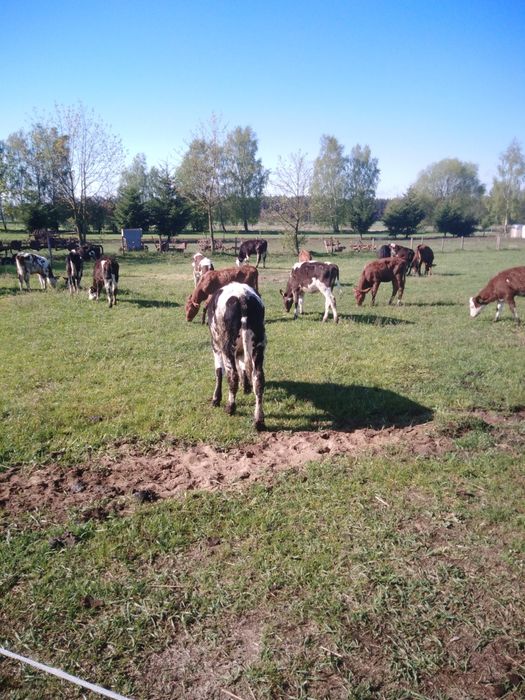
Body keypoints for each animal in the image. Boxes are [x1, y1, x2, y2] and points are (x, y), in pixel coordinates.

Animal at [207, 282, 266, 430]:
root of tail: (242, 296)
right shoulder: (241, 352)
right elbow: (243, 368)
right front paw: (245, 387)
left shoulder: (215, 346)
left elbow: (219, 372)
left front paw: (216, 399)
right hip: (259, 345)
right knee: (258, 378)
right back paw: (259, 420)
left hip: (227, 346)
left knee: (232, 375)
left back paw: (230, 407)